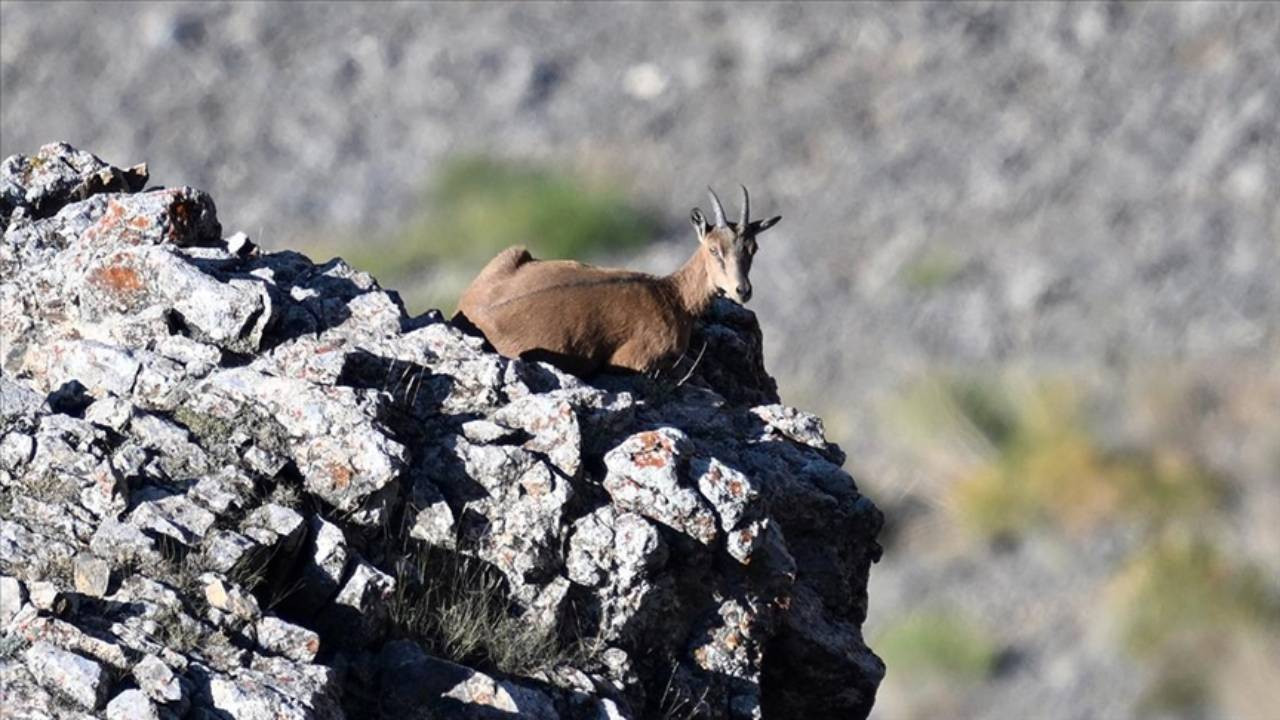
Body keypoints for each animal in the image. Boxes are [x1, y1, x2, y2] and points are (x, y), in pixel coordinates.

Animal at [458, 184, 778, 376]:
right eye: (713, 249)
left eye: (753, 248)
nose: (742, 290)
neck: (673, 297)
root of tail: (469, 310)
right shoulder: (633, 360)